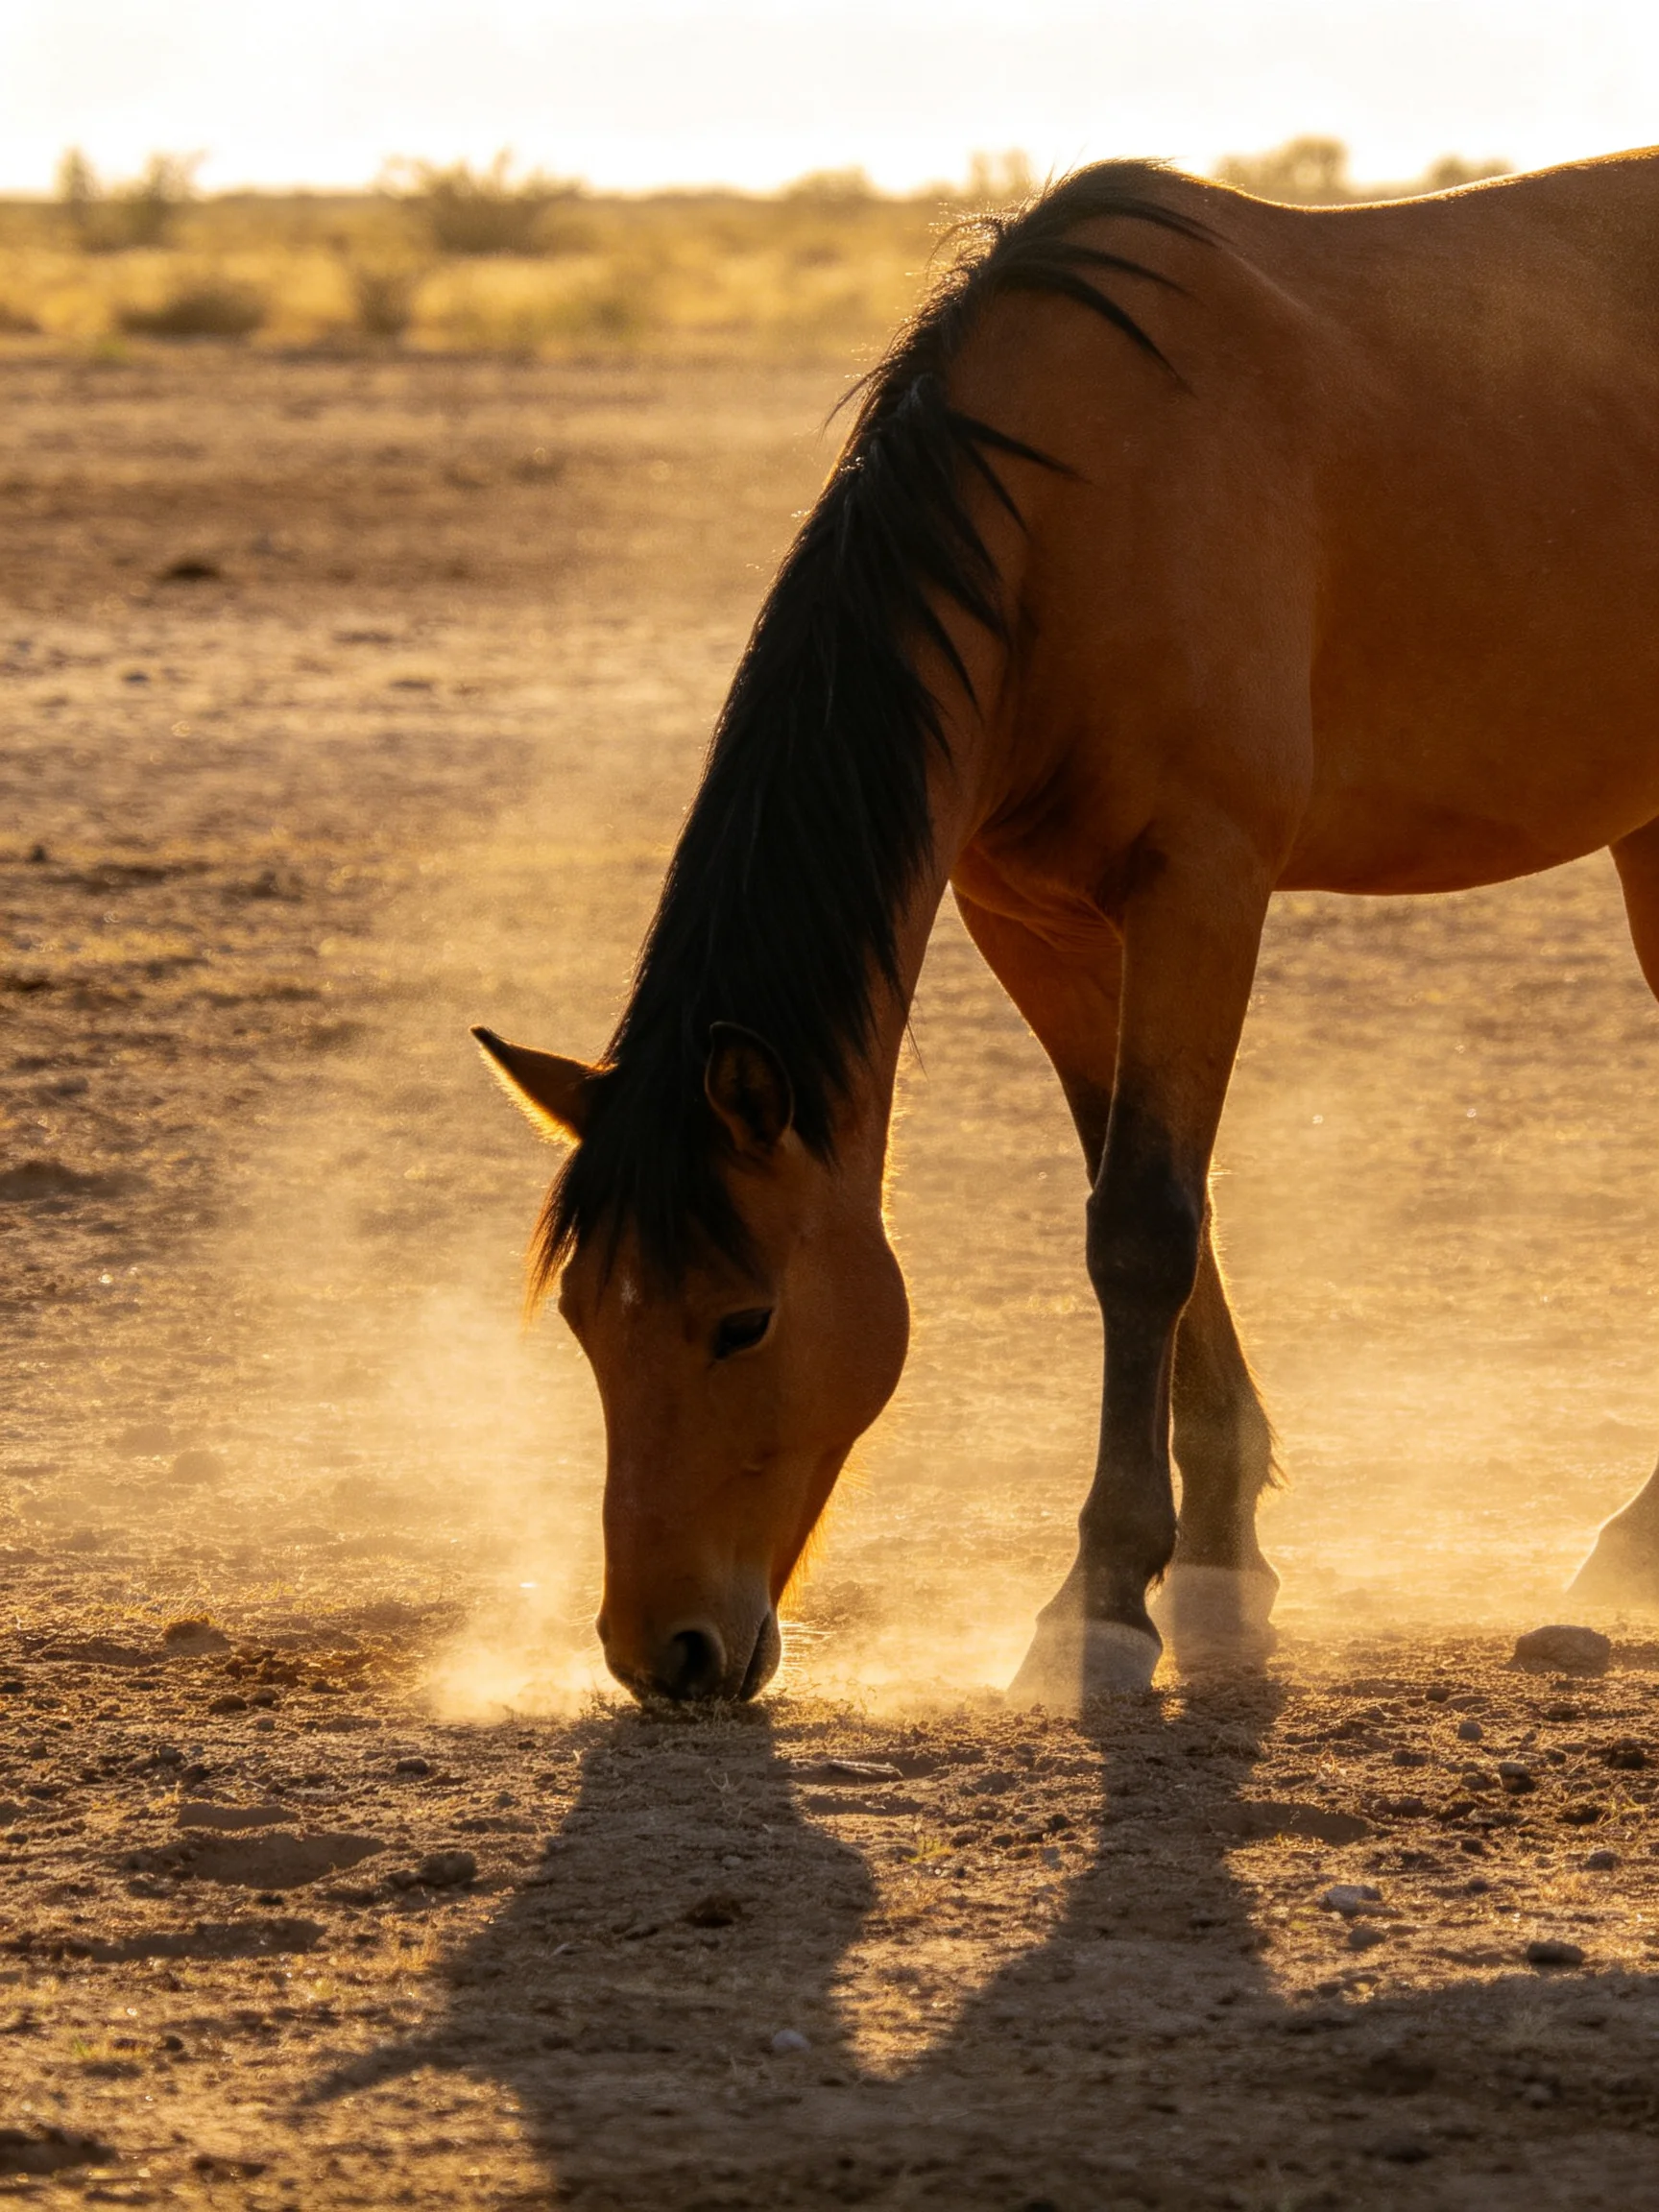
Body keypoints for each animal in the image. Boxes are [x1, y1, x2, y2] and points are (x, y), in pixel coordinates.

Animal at [475, 148, 1659, 1708]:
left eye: (744, 1320)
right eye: (585, 1323)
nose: (661, 1652)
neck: (1067, 524)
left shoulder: (1203, 886)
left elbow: (1144, 1226)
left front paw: (1099, 1598)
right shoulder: (1033, 921)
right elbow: (1155, 1207)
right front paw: (1218, 1564)